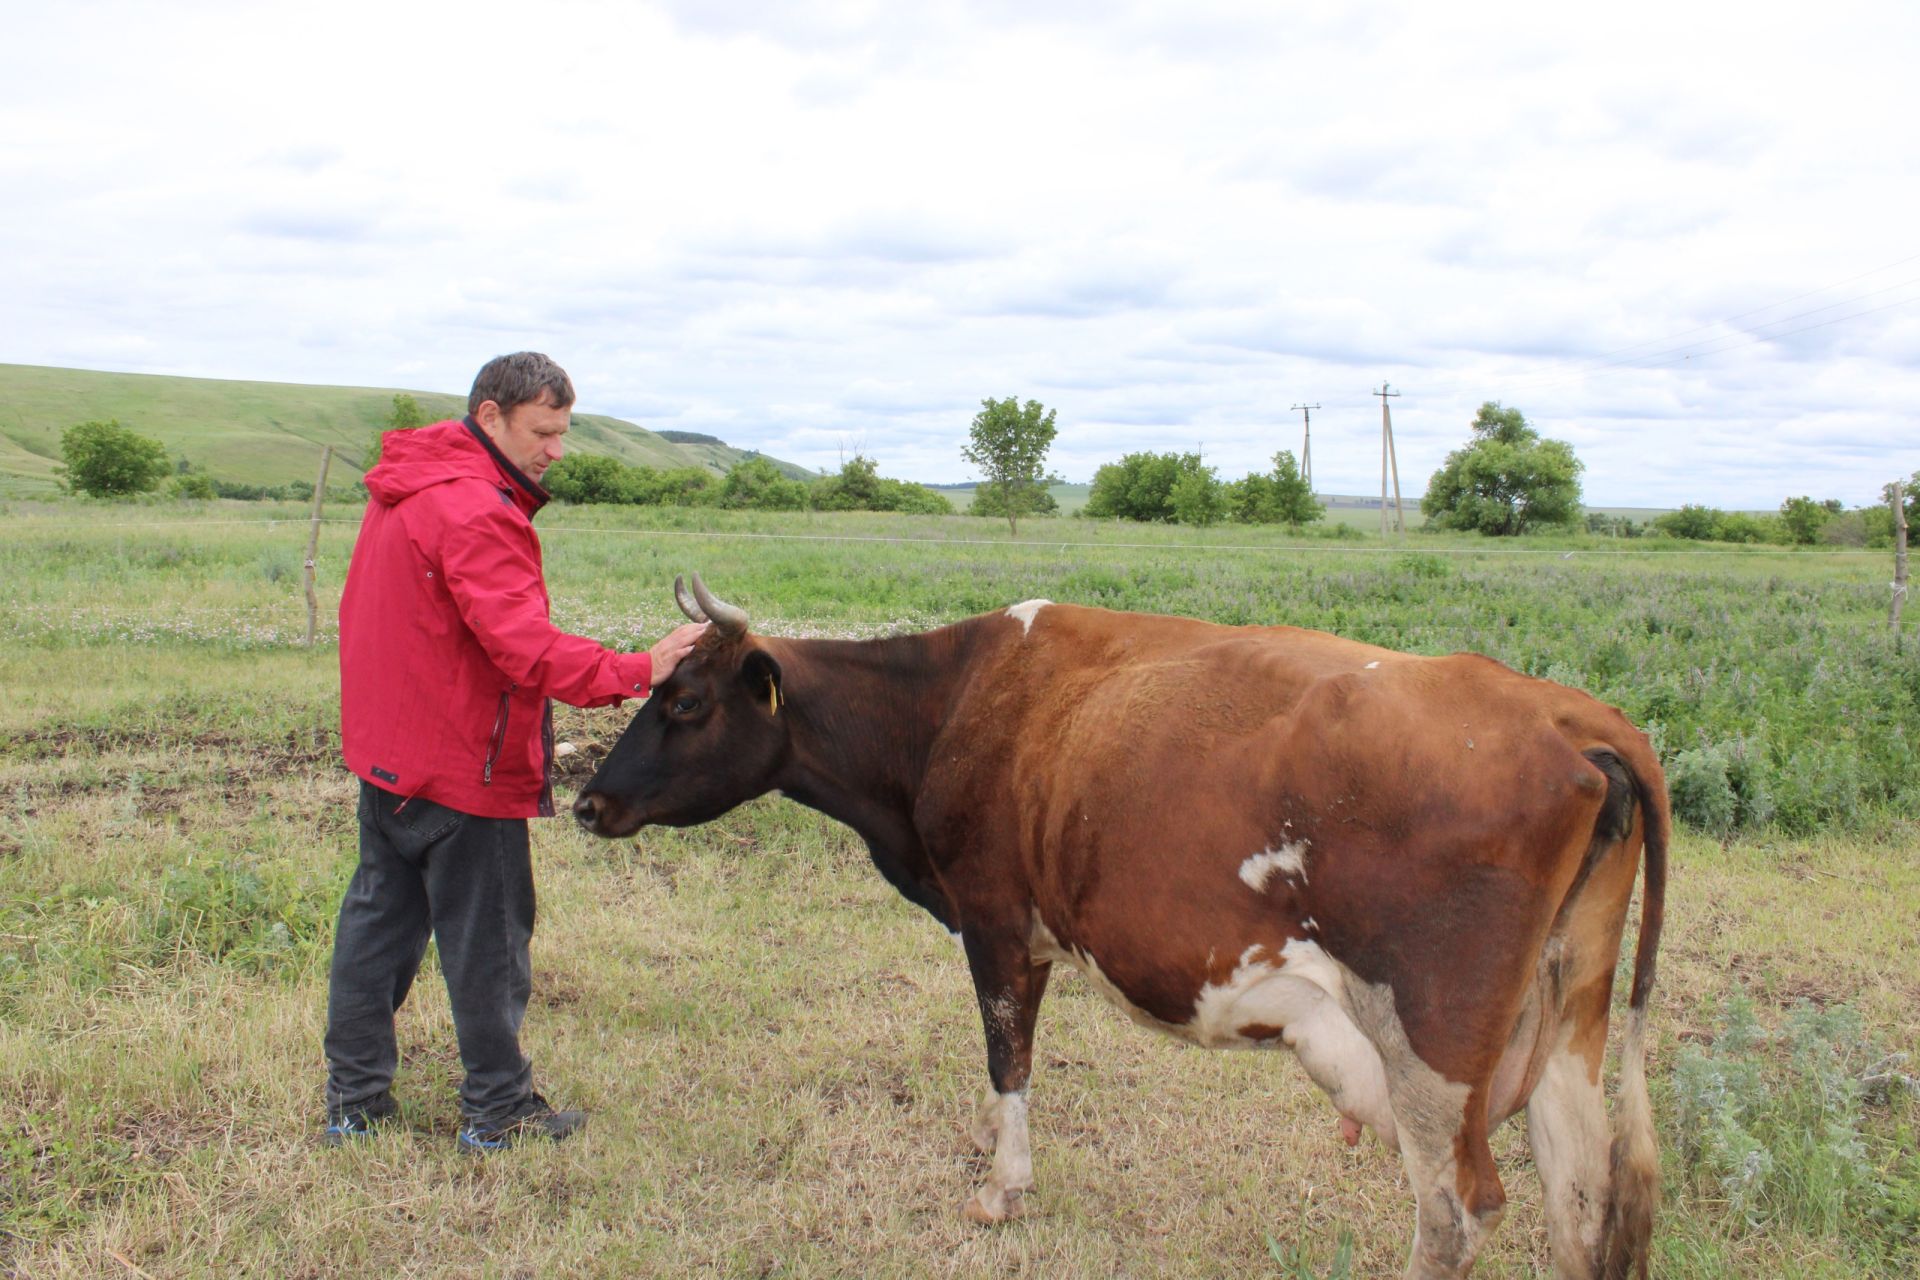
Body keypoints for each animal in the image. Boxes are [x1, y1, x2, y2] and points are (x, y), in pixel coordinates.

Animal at [572, 579, 1666, 1280]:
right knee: (1579, 1192)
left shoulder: (995, 918)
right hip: (1569, 1020)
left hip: (1429, 1044)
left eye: (685, 701)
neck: (948, 704)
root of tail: (1567, 715)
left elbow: (1007, 1056)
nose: (586, 801)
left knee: (1456, 1214)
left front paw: (1001, 1191)